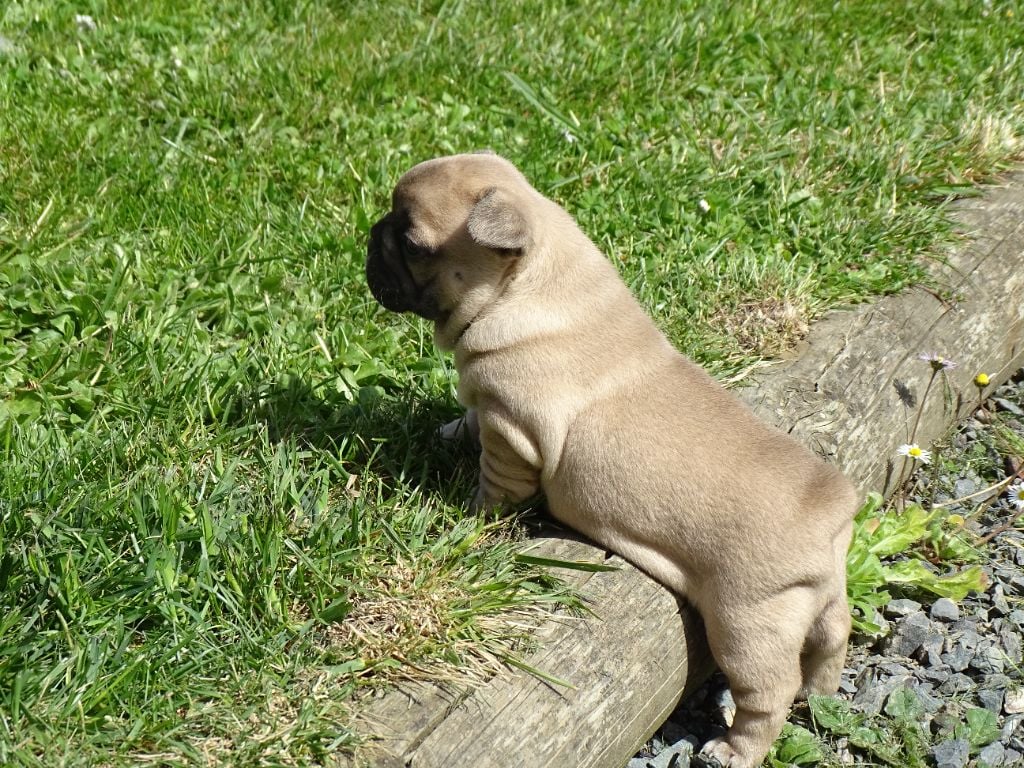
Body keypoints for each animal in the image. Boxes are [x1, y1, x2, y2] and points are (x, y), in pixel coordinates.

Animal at [365, 152, 857, 768]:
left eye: (411, 242)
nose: (372, 233)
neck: (528, 285)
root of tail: (832, 514)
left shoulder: (512, 431)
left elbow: (494, 483)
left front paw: (472, 518)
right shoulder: (489, 406)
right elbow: (468, 419)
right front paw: (450, 431)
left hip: (749, 623)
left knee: (768, 692)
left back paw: (732, 750)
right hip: (820, 600)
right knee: (834, 637)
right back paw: (824, 695)